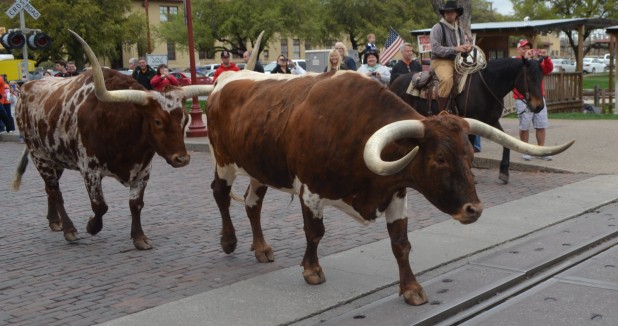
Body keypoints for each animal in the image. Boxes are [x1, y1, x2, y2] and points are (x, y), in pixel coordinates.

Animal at [390, 57, 544, 185]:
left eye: (541, 77)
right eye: (530, 78)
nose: (539, 106)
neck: (486, 86)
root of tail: (396, 80)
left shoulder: (491, 121)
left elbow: (506, 143)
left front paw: (504, 172)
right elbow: (469, 147)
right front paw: (471, 175)